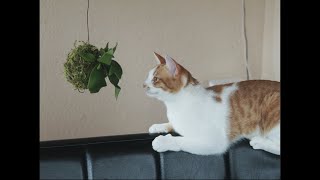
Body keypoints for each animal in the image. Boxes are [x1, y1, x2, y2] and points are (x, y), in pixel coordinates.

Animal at [143, 51, 280, 155]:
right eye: (147, 77)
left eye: (155, 79)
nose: (143, 85)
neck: (175, 105)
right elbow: (172, 124)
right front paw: (158, 126)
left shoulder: (214, 141)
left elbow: (183, 140)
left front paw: (164, 142)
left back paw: (259, 141)